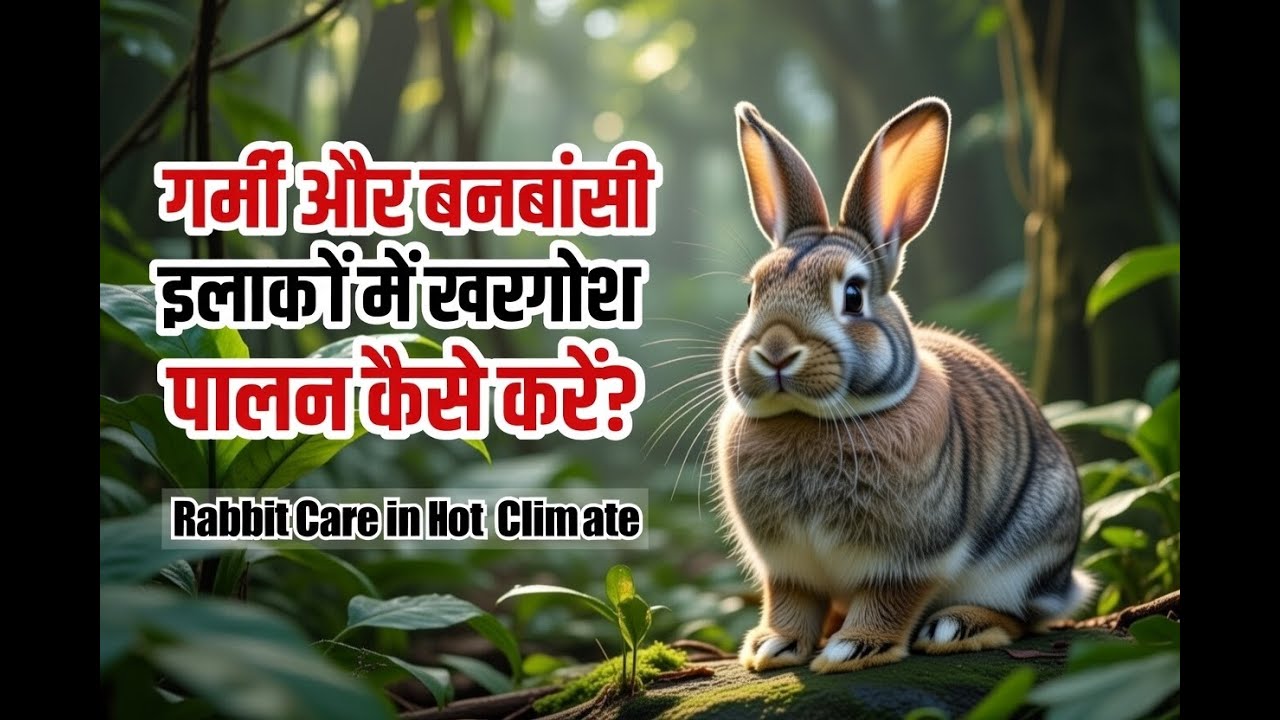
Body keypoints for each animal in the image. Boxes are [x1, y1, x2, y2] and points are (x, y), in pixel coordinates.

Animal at [716, 97, 1094, 674]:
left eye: (853, 295)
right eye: (753, 294)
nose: (775, 351)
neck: (810, 419)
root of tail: (1066, 581)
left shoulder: (908, 560)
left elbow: (889, 598)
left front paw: (852, 650)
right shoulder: (786, 567)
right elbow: (790, 601)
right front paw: (771, 648)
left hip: (1024, 555)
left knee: (1021, 615)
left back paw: (956, 627)